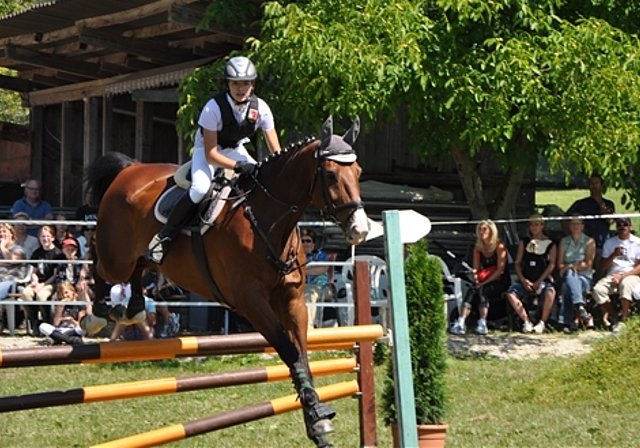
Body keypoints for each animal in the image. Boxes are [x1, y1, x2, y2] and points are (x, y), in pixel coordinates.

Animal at [85, 116, 370, 448]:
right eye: (330, 174)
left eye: (358, 172)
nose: (360, 230)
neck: (268, 219)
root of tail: (130, 169)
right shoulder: (251, 302)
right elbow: (288, 351)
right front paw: (316, 414)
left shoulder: (291, 300)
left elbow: (301, 354)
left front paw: (317, 424)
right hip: (116, 256)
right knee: (98, 260)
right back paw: (97, 313)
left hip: (138, 257)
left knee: (139, 267)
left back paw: (133, 308)